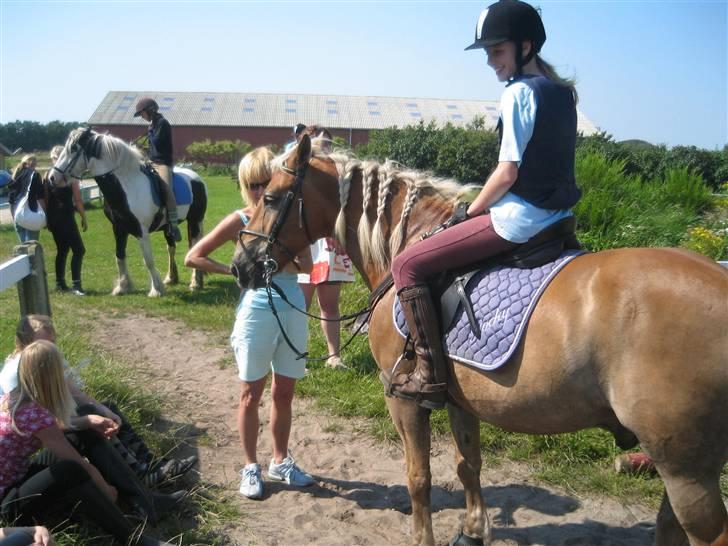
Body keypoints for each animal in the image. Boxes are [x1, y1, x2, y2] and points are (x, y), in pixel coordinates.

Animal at [49, 126, 206, 298]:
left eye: (73, 148)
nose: (52, 177)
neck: (126, 186)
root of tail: (197, 178)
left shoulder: (141, 231)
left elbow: (148, 260)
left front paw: (156, 289)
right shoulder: (118, 228)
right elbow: (119, 256)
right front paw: (123, 286)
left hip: (194, 221)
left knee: (194, 246)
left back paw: (195, 282)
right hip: (169, 228)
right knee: (171, 248)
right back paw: (171, 278)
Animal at [233, 135, 728, 544]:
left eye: (271, 197)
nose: (241, 265)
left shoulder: (403, 399)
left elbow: (419, 477)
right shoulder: (459, 398)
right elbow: (467, 464)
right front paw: (472, 531)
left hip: (685, 468)